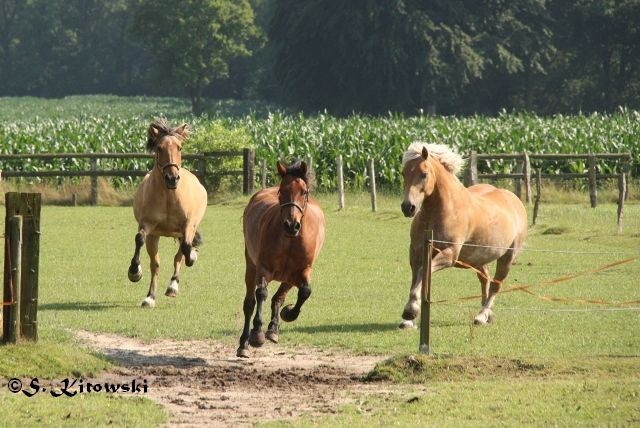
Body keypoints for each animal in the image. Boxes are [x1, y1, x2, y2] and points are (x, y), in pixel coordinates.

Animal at [125, 120, 205, 308]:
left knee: (179, 256)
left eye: (180, 147)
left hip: (185, 231)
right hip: (155, 236)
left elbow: (186, 250)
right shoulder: (148, 227)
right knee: (156, 264)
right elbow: (139, 239)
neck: (169, 196)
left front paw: (193, 255)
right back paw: (150, 297)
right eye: (159, 148)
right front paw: (134, 272)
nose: (172, 178)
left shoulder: (187, 226)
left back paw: (172, 287)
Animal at [236, 160, 324, 358]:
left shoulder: (302, 271)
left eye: (304, 192)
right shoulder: (263, 269)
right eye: (281, 191)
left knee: (279, 297)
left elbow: (305, 292)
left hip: (288, 277)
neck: (291, 240)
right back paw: (244, 344)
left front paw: (288, 314)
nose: (291, 225)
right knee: (250, 303)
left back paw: (273, 329)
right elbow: (261, 293)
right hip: (251, 266)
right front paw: (257, 334)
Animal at [398, 144, 528, 328]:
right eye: (403, 173)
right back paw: (488, 315)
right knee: (485, 280)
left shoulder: (449, 254)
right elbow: (417, 277)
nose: (408, 207)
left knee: (495, 286)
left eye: (424, 174)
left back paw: (481, 316)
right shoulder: (416, 253)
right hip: (479, 259)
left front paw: (410, 311)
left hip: (507, 258)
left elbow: (424, 271)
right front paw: (408, 320)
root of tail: (514, 199)